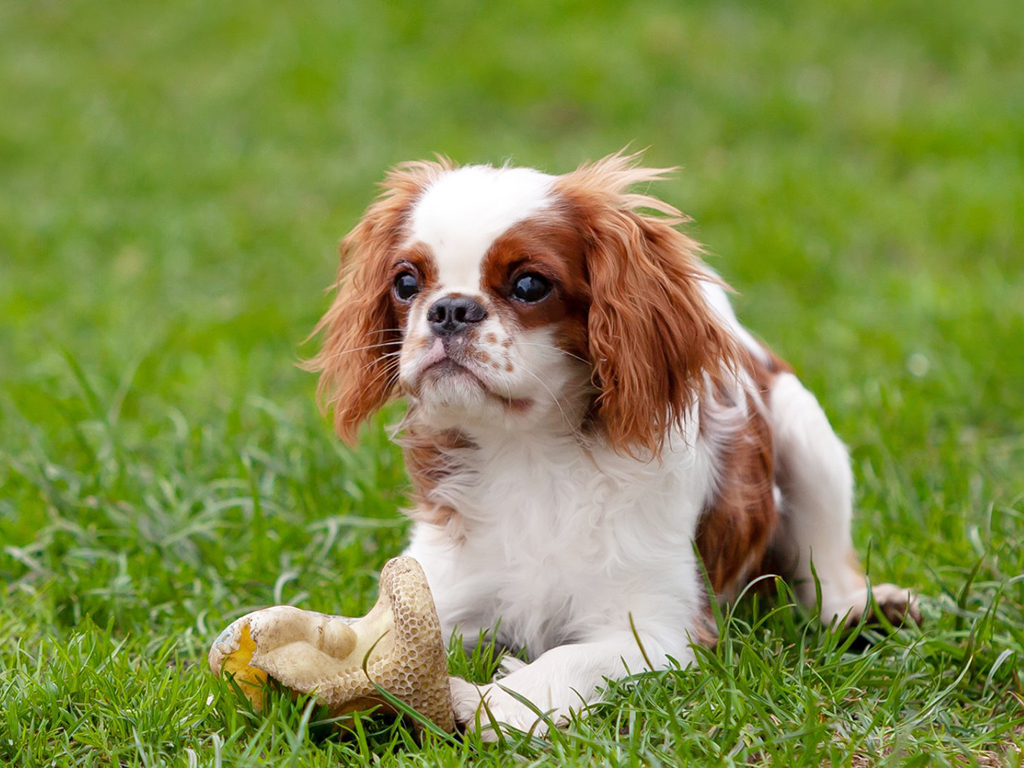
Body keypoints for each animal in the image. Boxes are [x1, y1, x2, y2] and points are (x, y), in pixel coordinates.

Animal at [307, 151, 925, 741]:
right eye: (406, 283)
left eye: (529, 285)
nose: (450, 309)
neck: (528, 453)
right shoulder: (441, 590)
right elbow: (370, 647)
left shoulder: (662, 631)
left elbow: (566, 659)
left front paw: (492, 702)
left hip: (807, 433)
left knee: (827, 570)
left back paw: (865, 609)